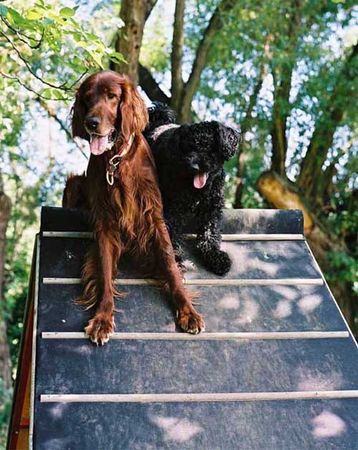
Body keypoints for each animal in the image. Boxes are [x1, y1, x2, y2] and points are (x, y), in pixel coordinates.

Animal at [62, 71, 204, 344]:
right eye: (87, 98)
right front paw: (103, 319)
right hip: (74, 184)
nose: (91, 122)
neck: (117, 160)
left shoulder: (153, 215)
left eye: (112, 96)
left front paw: (187, 311)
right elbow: (105, 272)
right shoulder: (105, 222)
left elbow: (169, 263)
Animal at [143, 103, 241, 276]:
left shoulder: (211, 207)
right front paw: (174, 262)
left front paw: (215, 257)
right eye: (188, 148)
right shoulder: (173, 208)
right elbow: (170, 234)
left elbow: (210, 233)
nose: (194, 165)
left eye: (209, 147)